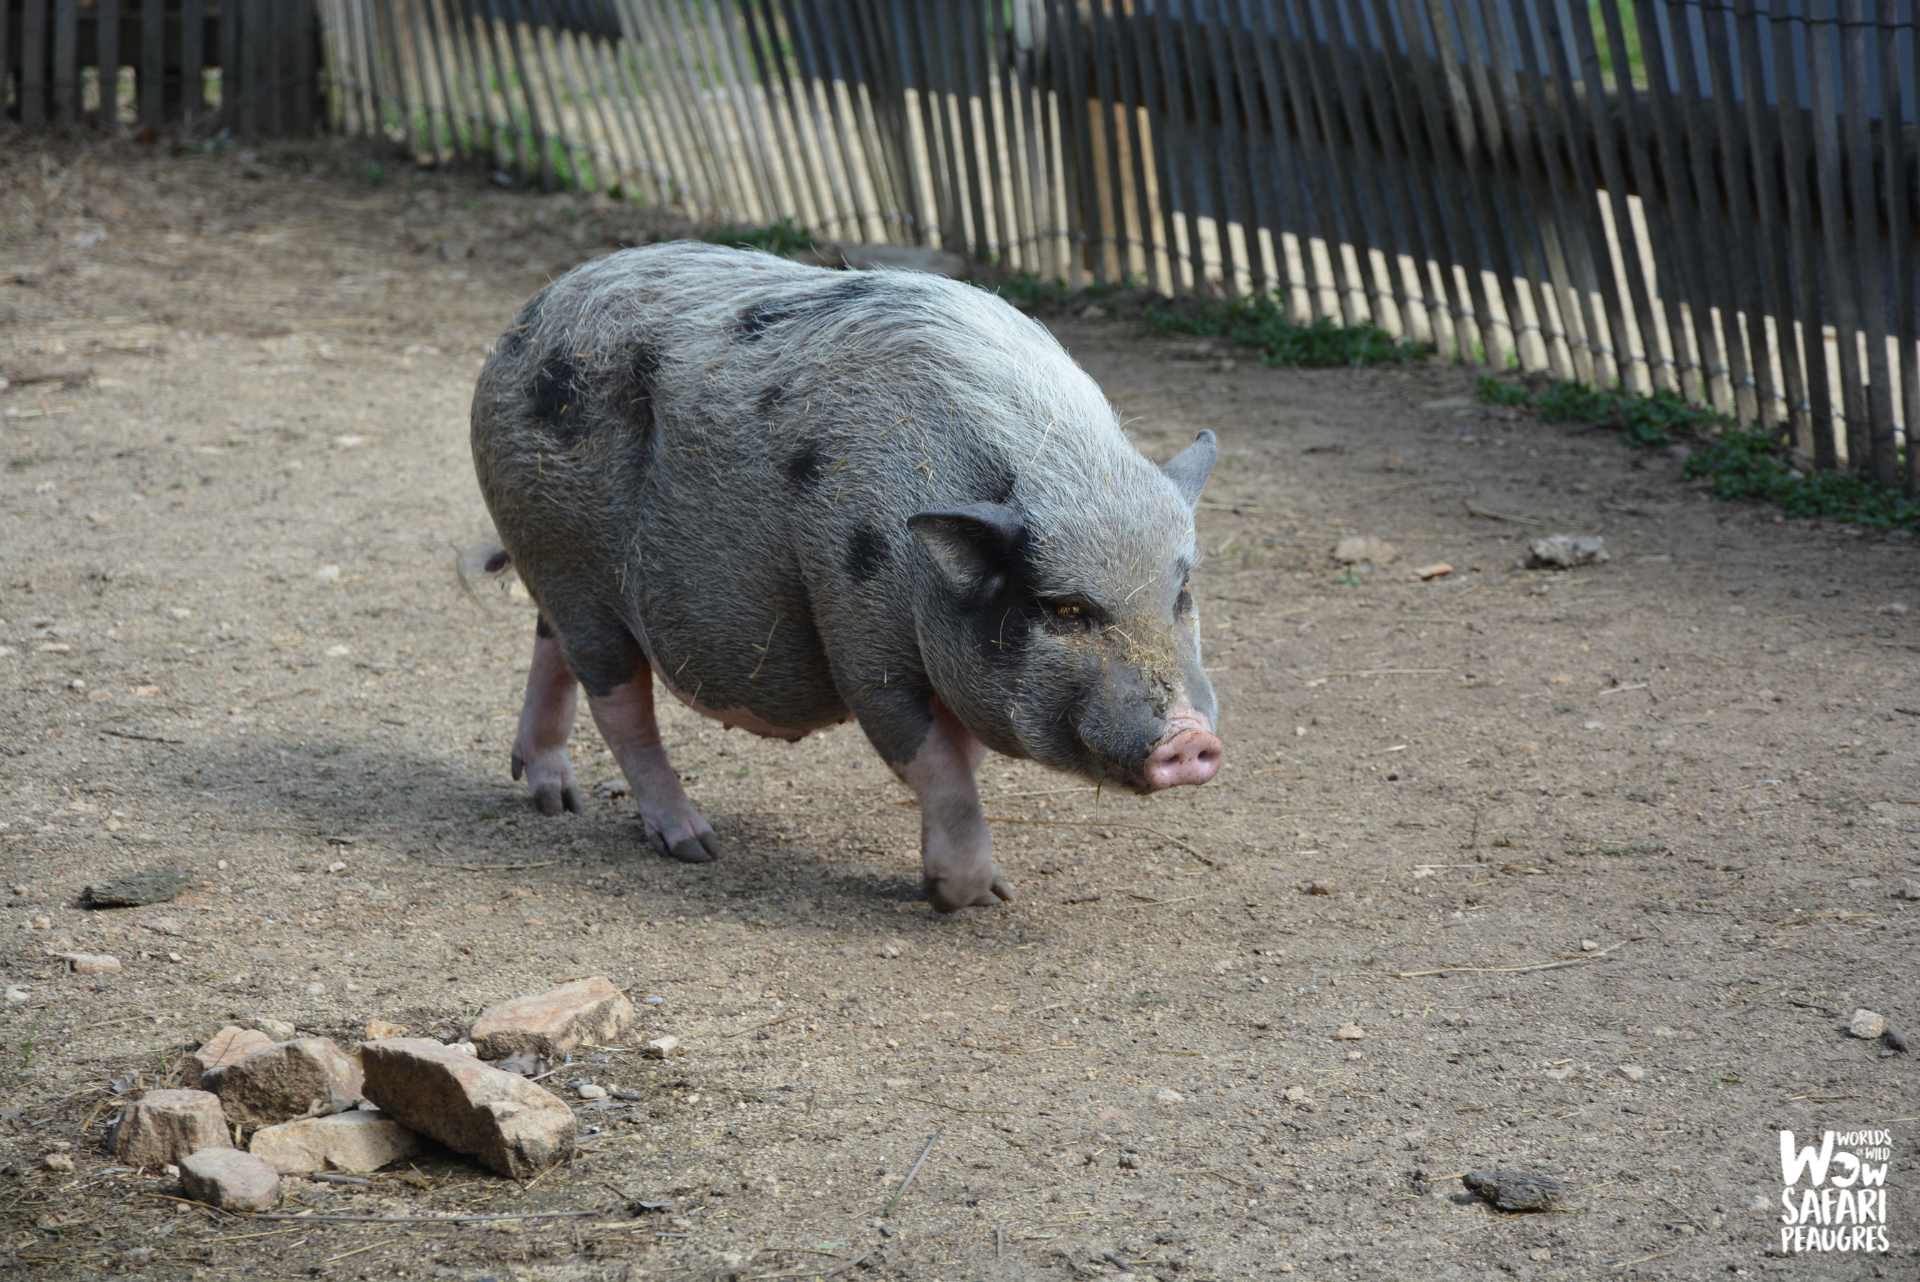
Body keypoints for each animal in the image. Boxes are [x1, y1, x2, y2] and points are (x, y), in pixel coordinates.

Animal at [476, 239, 1228, 909]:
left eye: (1181, 594)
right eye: (1067, 609)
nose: (1192, 738)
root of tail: (523, 322)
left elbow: (962, 765)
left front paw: (978, 891)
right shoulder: (860, 634)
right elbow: (936, 765)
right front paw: (965, 899)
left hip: (558, 570)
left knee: (552, 645)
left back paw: (553, 798)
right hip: (567, 556)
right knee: (619, 701)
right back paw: (693, 844)